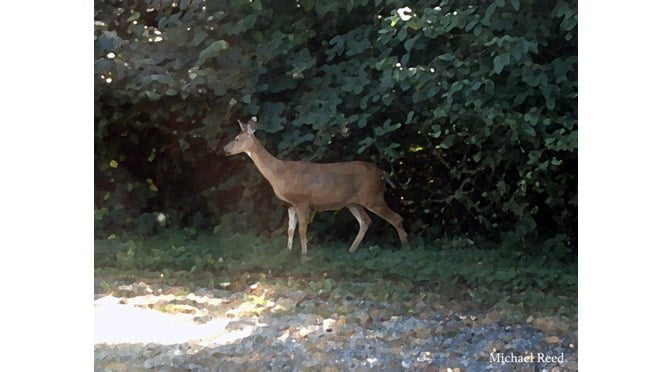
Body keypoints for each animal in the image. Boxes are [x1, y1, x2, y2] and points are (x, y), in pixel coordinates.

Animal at [223, 116, 406, 256]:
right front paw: (288, 252)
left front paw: (304, 256)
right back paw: (351, 251)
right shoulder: (290, 204)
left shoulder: (302, 200)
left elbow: (302, 229)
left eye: (237, 139)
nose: (225, 149)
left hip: (372, 195)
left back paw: (405, 249)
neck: (279, 173)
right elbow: (290, 229)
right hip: (353, 202)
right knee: (365, 221)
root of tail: (383, 174)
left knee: (396, 217)